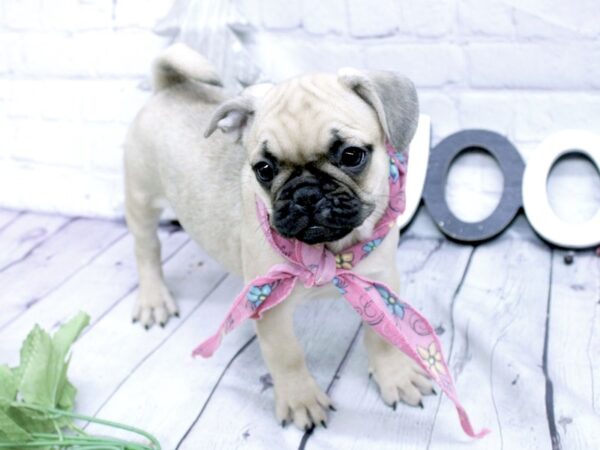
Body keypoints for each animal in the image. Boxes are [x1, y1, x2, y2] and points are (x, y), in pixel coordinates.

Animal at [124, 44, 432, 430]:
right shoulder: (270, 307)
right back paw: (154, 300)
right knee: (146, 249)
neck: (328, 253)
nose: (306, 193)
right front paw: (301, 400)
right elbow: (287, 355)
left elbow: (383, 337)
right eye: (264, 169)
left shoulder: (379, 284)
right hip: (141, 198)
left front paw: (395, 375)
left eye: (351, 155)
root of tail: (171, 85)